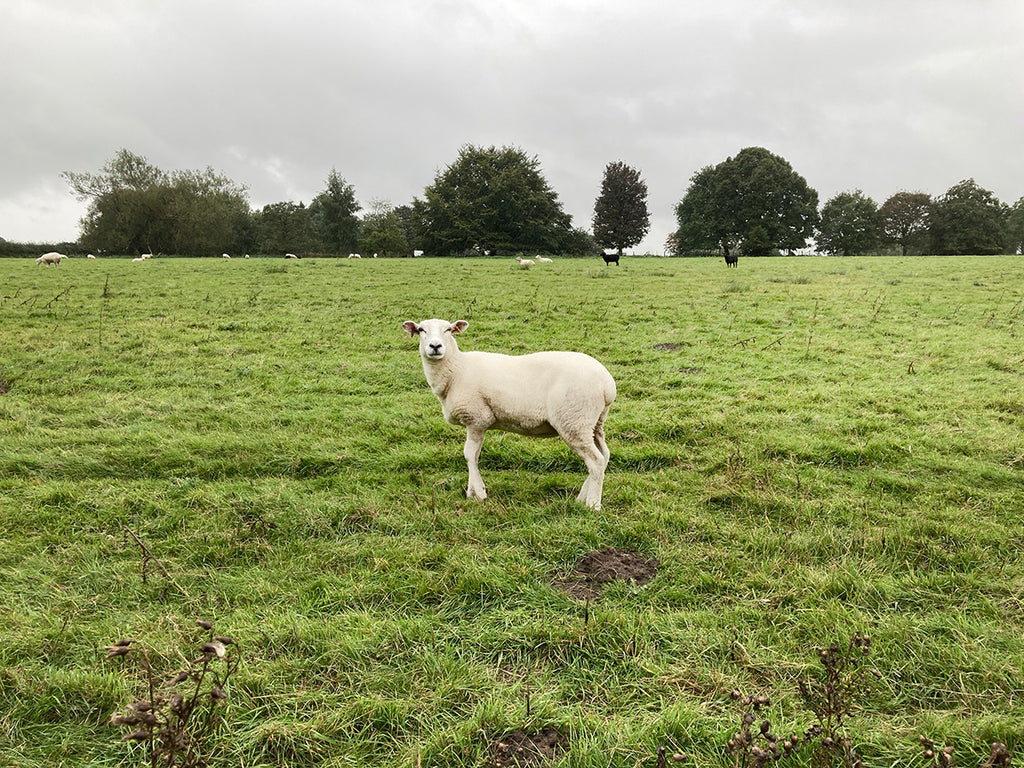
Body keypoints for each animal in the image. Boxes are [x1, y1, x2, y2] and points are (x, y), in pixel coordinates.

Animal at [401, 319, 614, 512]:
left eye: (448, 329)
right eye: (421, 330)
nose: (435, 346)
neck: (456, 369)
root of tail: (608, 385)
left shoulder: (476, 418)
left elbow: (469, 455)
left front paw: (478, 494)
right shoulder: (480, 422)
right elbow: (475, 455)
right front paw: (473, 491)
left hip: (574, 421)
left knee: (596, 461)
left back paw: (593, 505)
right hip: (594, 423)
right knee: (604, 456)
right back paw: (581, 498)